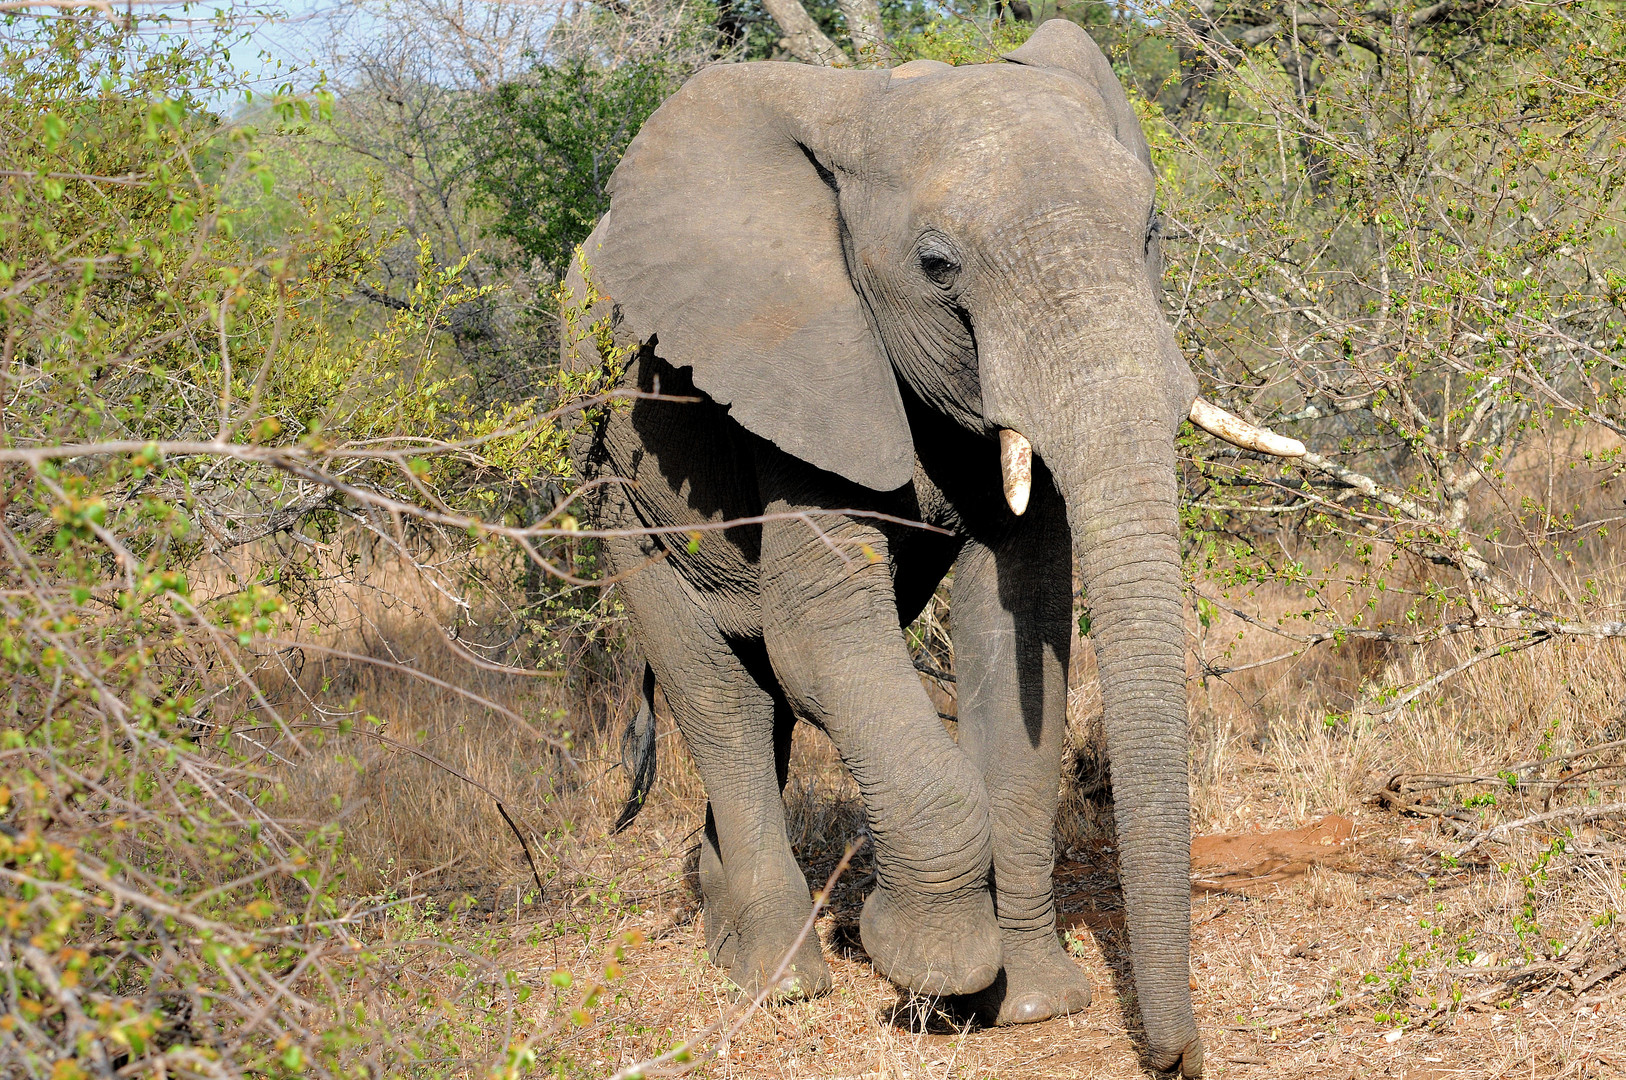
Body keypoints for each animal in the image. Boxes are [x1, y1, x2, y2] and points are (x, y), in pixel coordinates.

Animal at [565, 19, 1300, 1080]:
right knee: (722, 694)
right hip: (611, 483)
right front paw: (931, 968)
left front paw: (1032, 1004)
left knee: (761, 699)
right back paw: (779, 978)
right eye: (938, 263)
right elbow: (823, 636)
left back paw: (724, 927)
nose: (1176, 1060)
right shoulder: (801, 359)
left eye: (1152, 232)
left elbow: (1022, 622)